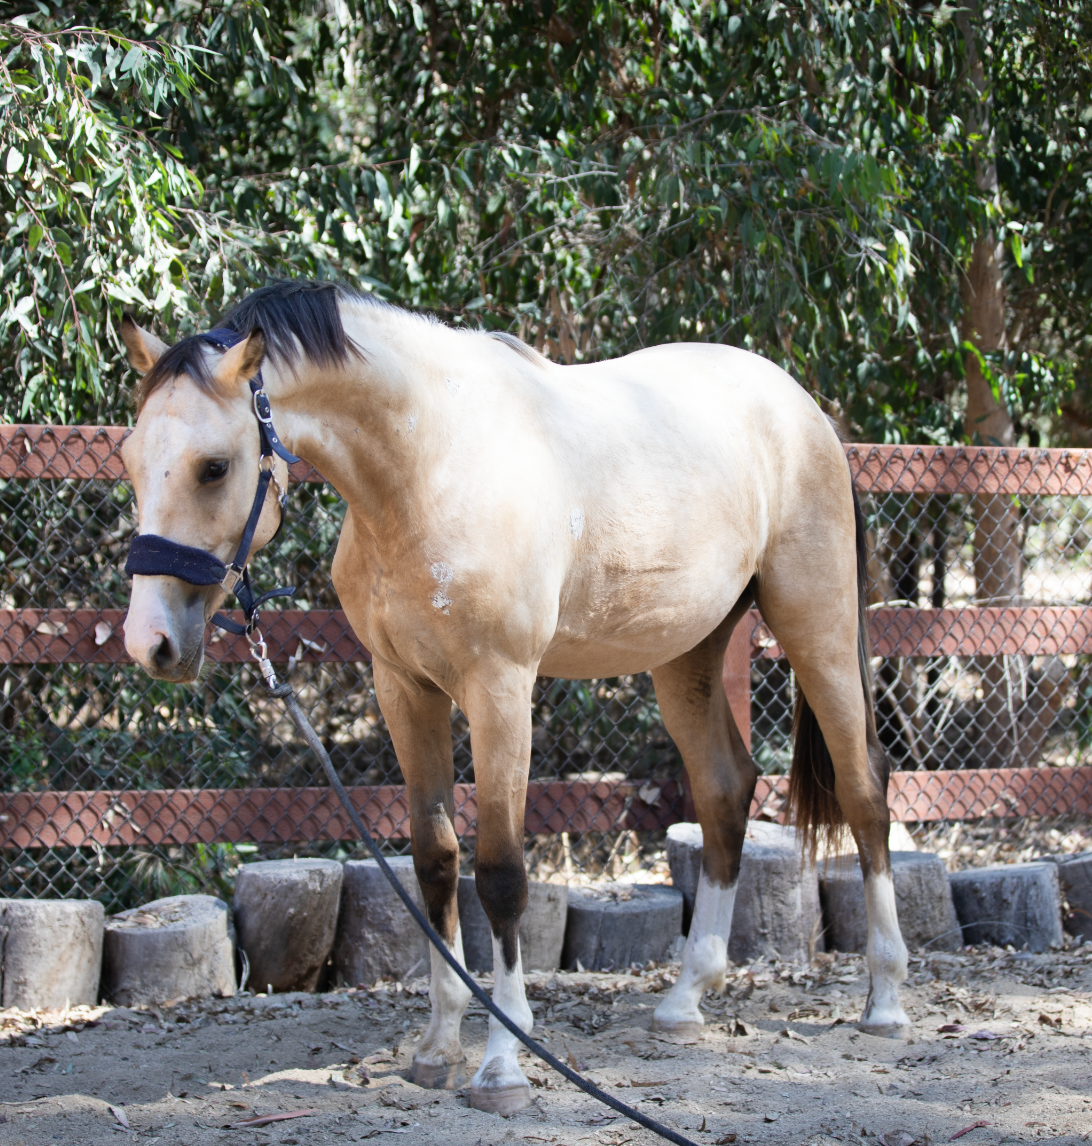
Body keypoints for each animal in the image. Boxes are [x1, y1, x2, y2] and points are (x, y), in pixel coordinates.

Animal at [118, 279, 909, 1114]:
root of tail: (806, 413)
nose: (150, 641)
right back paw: (685, 1000)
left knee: (864, 787)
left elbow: (500, 875)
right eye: (131, 459)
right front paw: (436, 1048)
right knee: (726, 789)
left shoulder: (499, 689)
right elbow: (435, 862)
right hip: (685, 655)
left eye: (213, 467)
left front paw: (502, 1064)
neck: (430, 465)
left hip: (816, 625)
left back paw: (886, 1002)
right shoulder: (405, 690)